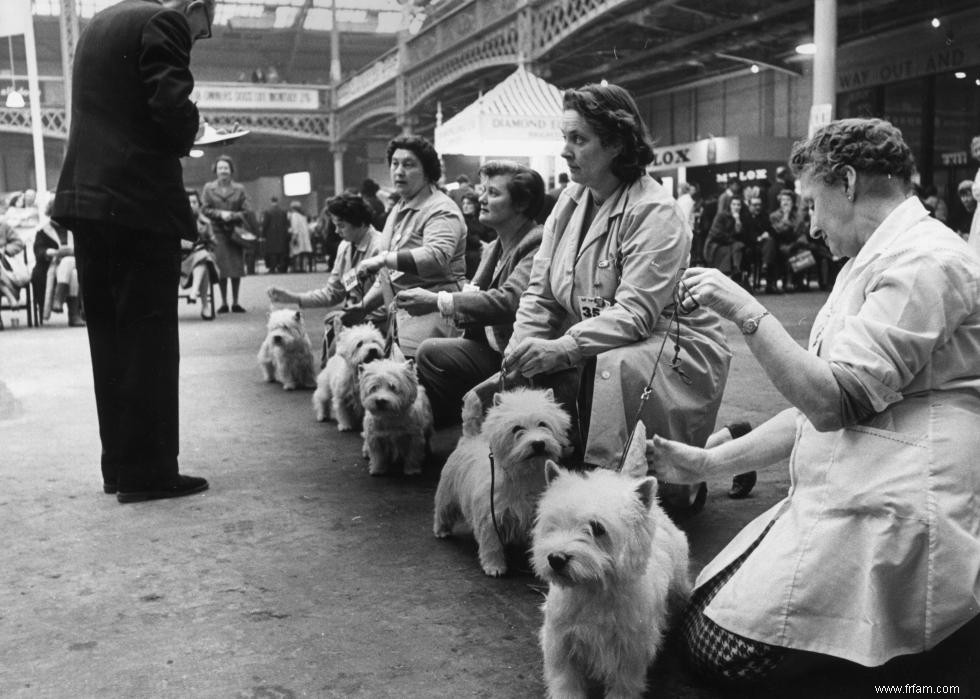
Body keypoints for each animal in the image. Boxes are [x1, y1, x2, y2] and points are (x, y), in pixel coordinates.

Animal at [432, 386, 572, 576]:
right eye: (517, 429)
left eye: (543, 424)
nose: (538, 444)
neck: (524, 475)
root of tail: (469, 439)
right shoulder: (490, 517)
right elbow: (491, 544)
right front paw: (494, 567)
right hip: (448, 491)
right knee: (442, 510)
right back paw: (441, 530)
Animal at [528, 422, 688, 699]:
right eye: (553, 524)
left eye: (596, 528)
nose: (556, 559)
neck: (593, 591)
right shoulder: (561, 641)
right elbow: (565, 681)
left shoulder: (629, 653)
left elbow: (623, 685)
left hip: (679, 583)